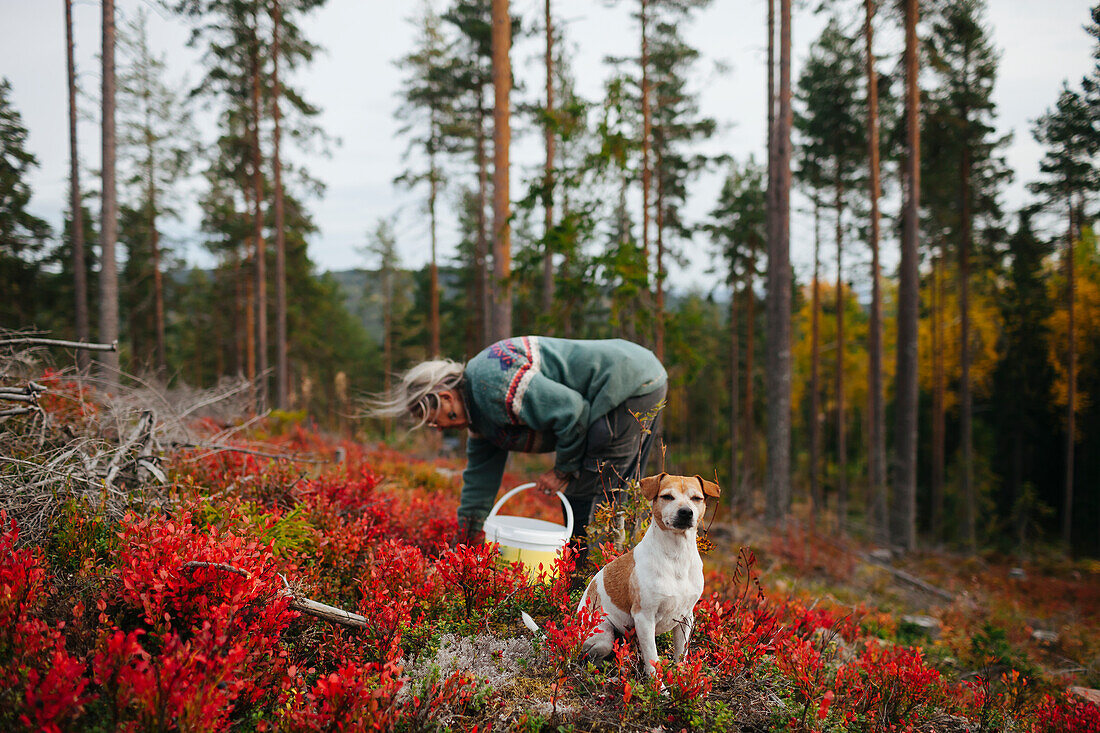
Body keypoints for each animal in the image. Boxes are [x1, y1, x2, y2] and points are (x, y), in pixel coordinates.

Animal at [563, 473, 717, 673]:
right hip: (604, 636)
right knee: (592, 659)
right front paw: (657, 682)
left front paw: (680, 676)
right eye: (667, 496)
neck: (676, 556)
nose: (686, 512)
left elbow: (680, 655)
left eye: (696, 498)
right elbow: (652, 659)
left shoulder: (686, 619)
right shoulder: (644, 618)